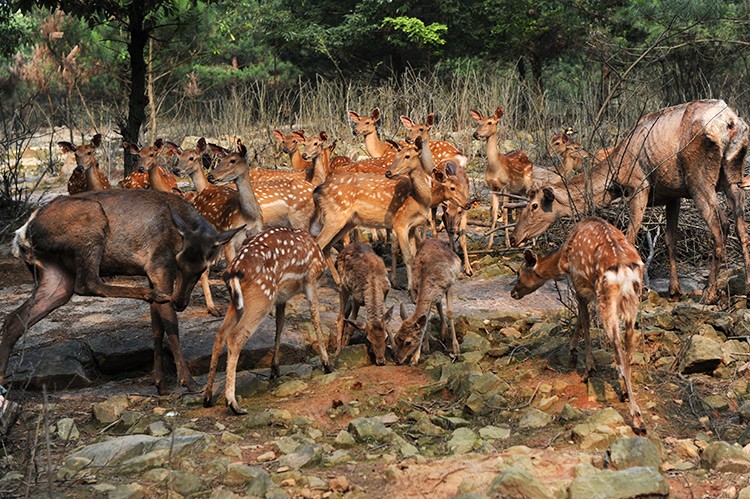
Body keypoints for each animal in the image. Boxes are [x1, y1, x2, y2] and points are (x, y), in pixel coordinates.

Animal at [1, 190, 242, 394]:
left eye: (202, 268)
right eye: (178, 261)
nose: (180, 302)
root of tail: (23, 233)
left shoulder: (152, 274)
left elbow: (156, 327)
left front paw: (160, 383)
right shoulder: (159, 265)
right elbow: (170, 324)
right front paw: (188, 381)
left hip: (54, 274)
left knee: (14, 319)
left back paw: (3, 379)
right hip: (91, 223)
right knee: (87, 283)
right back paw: (150, 295)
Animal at [206, 227, 334, 414]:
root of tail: (232, 272)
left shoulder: (281, 297)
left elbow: (279, 325)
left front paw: (275, 368)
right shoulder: (310, 278)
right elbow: (315, 317)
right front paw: (327, 365)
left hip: (239, 302)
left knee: (220, 335)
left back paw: (207, 397)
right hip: (262, 297)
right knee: (235, 337)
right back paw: (234, 404)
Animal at [470, 106, 560, 249]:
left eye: (490, 122)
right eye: (479, 122)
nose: (475, 134)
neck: (495, 168)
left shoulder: (506, 187)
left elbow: (505, 215)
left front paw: (507, 243)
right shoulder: (493, 189)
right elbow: (494, 215)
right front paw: (489, 245)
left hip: (527, 185)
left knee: (523, 206)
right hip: (517, 191)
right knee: (518, 209)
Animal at [512, 99, 750, 302]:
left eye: (534, 206)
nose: (515, 237)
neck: (613, 180)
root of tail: (731, 122)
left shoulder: (639, 186)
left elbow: (630, 236)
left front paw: (640, 290)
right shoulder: (672, 194)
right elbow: (669, 239)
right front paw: (674, 290)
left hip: (699, 179)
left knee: (721, 226)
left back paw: (709, 294)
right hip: (733, 175)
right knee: (742, 228)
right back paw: (746, 287)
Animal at [516, 218, 648, 434]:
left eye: (519, 272)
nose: (513, 292)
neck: (563, 259)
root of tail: (624, 271)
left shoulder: (578, 282)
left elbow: (584, 318)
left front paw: (587, 367)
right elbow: (581, 317)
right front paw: (573, 355)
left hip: (606, 297)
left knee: (618, 347)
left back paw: (638, 420)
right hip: (632, 300)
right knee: (629, 342)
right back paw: (624, 391)